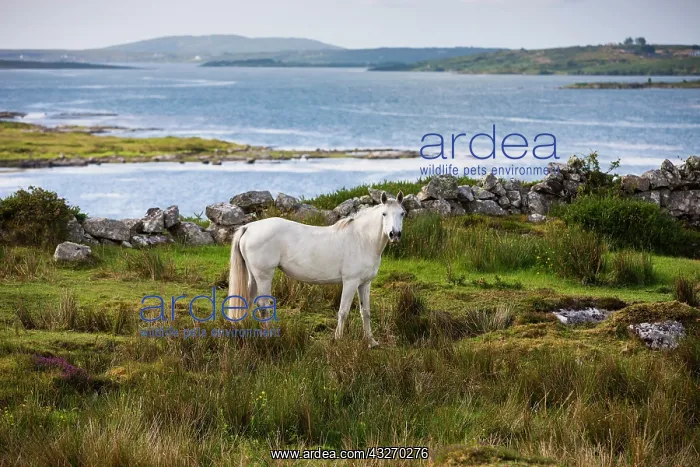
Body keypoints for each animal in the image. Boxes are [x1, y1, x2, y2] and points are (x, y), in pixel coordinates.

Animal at [228, 191, 405, 347]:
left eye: (402, 213)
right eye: (384, 214)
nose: (394, 234)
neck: (362, 238)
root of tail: (249, 227)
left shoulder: (364, 283)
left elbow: (365, 312)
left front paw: (371, 342)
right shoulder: (350, 282)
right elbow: (343, 311)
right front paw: (338, 340)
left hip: (254, 276)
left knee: (247, 300)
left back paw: (243, 331)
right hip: (264, 276)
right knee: (263, 305)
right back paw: (268, 339)